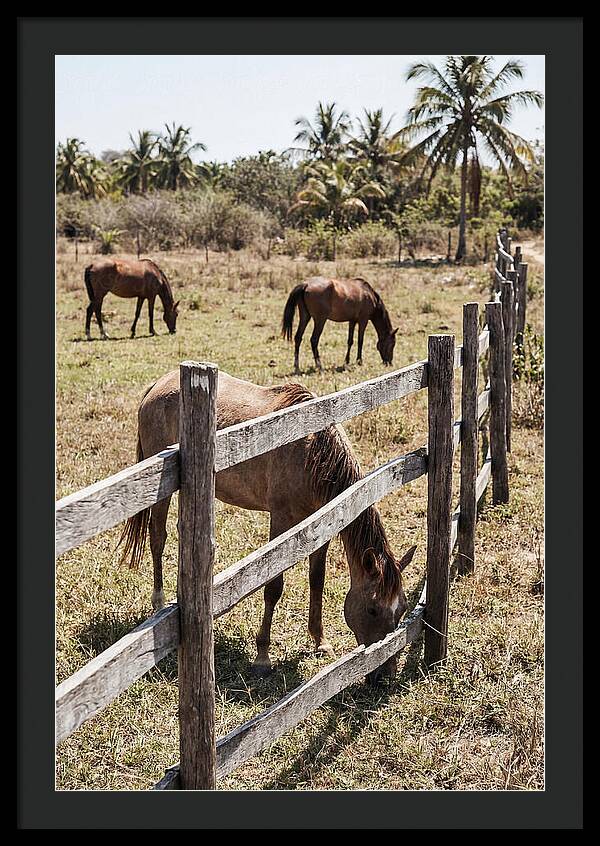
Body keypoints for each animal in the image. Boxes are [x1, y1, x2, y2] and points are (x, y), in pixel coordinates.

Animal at [118, 370, 416, 680]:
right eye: (372, 610)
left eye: (402, 610)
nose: (384, 674)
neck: (312, 452)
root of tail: (158, 385)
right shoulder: (281, 519)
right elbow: (273, 586)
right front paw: (262, 656)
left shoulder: (322, 522)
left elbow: (317, 580)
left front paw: (320, 641)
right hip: (160, 490)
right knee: (157, 538)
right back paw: (159, 603)